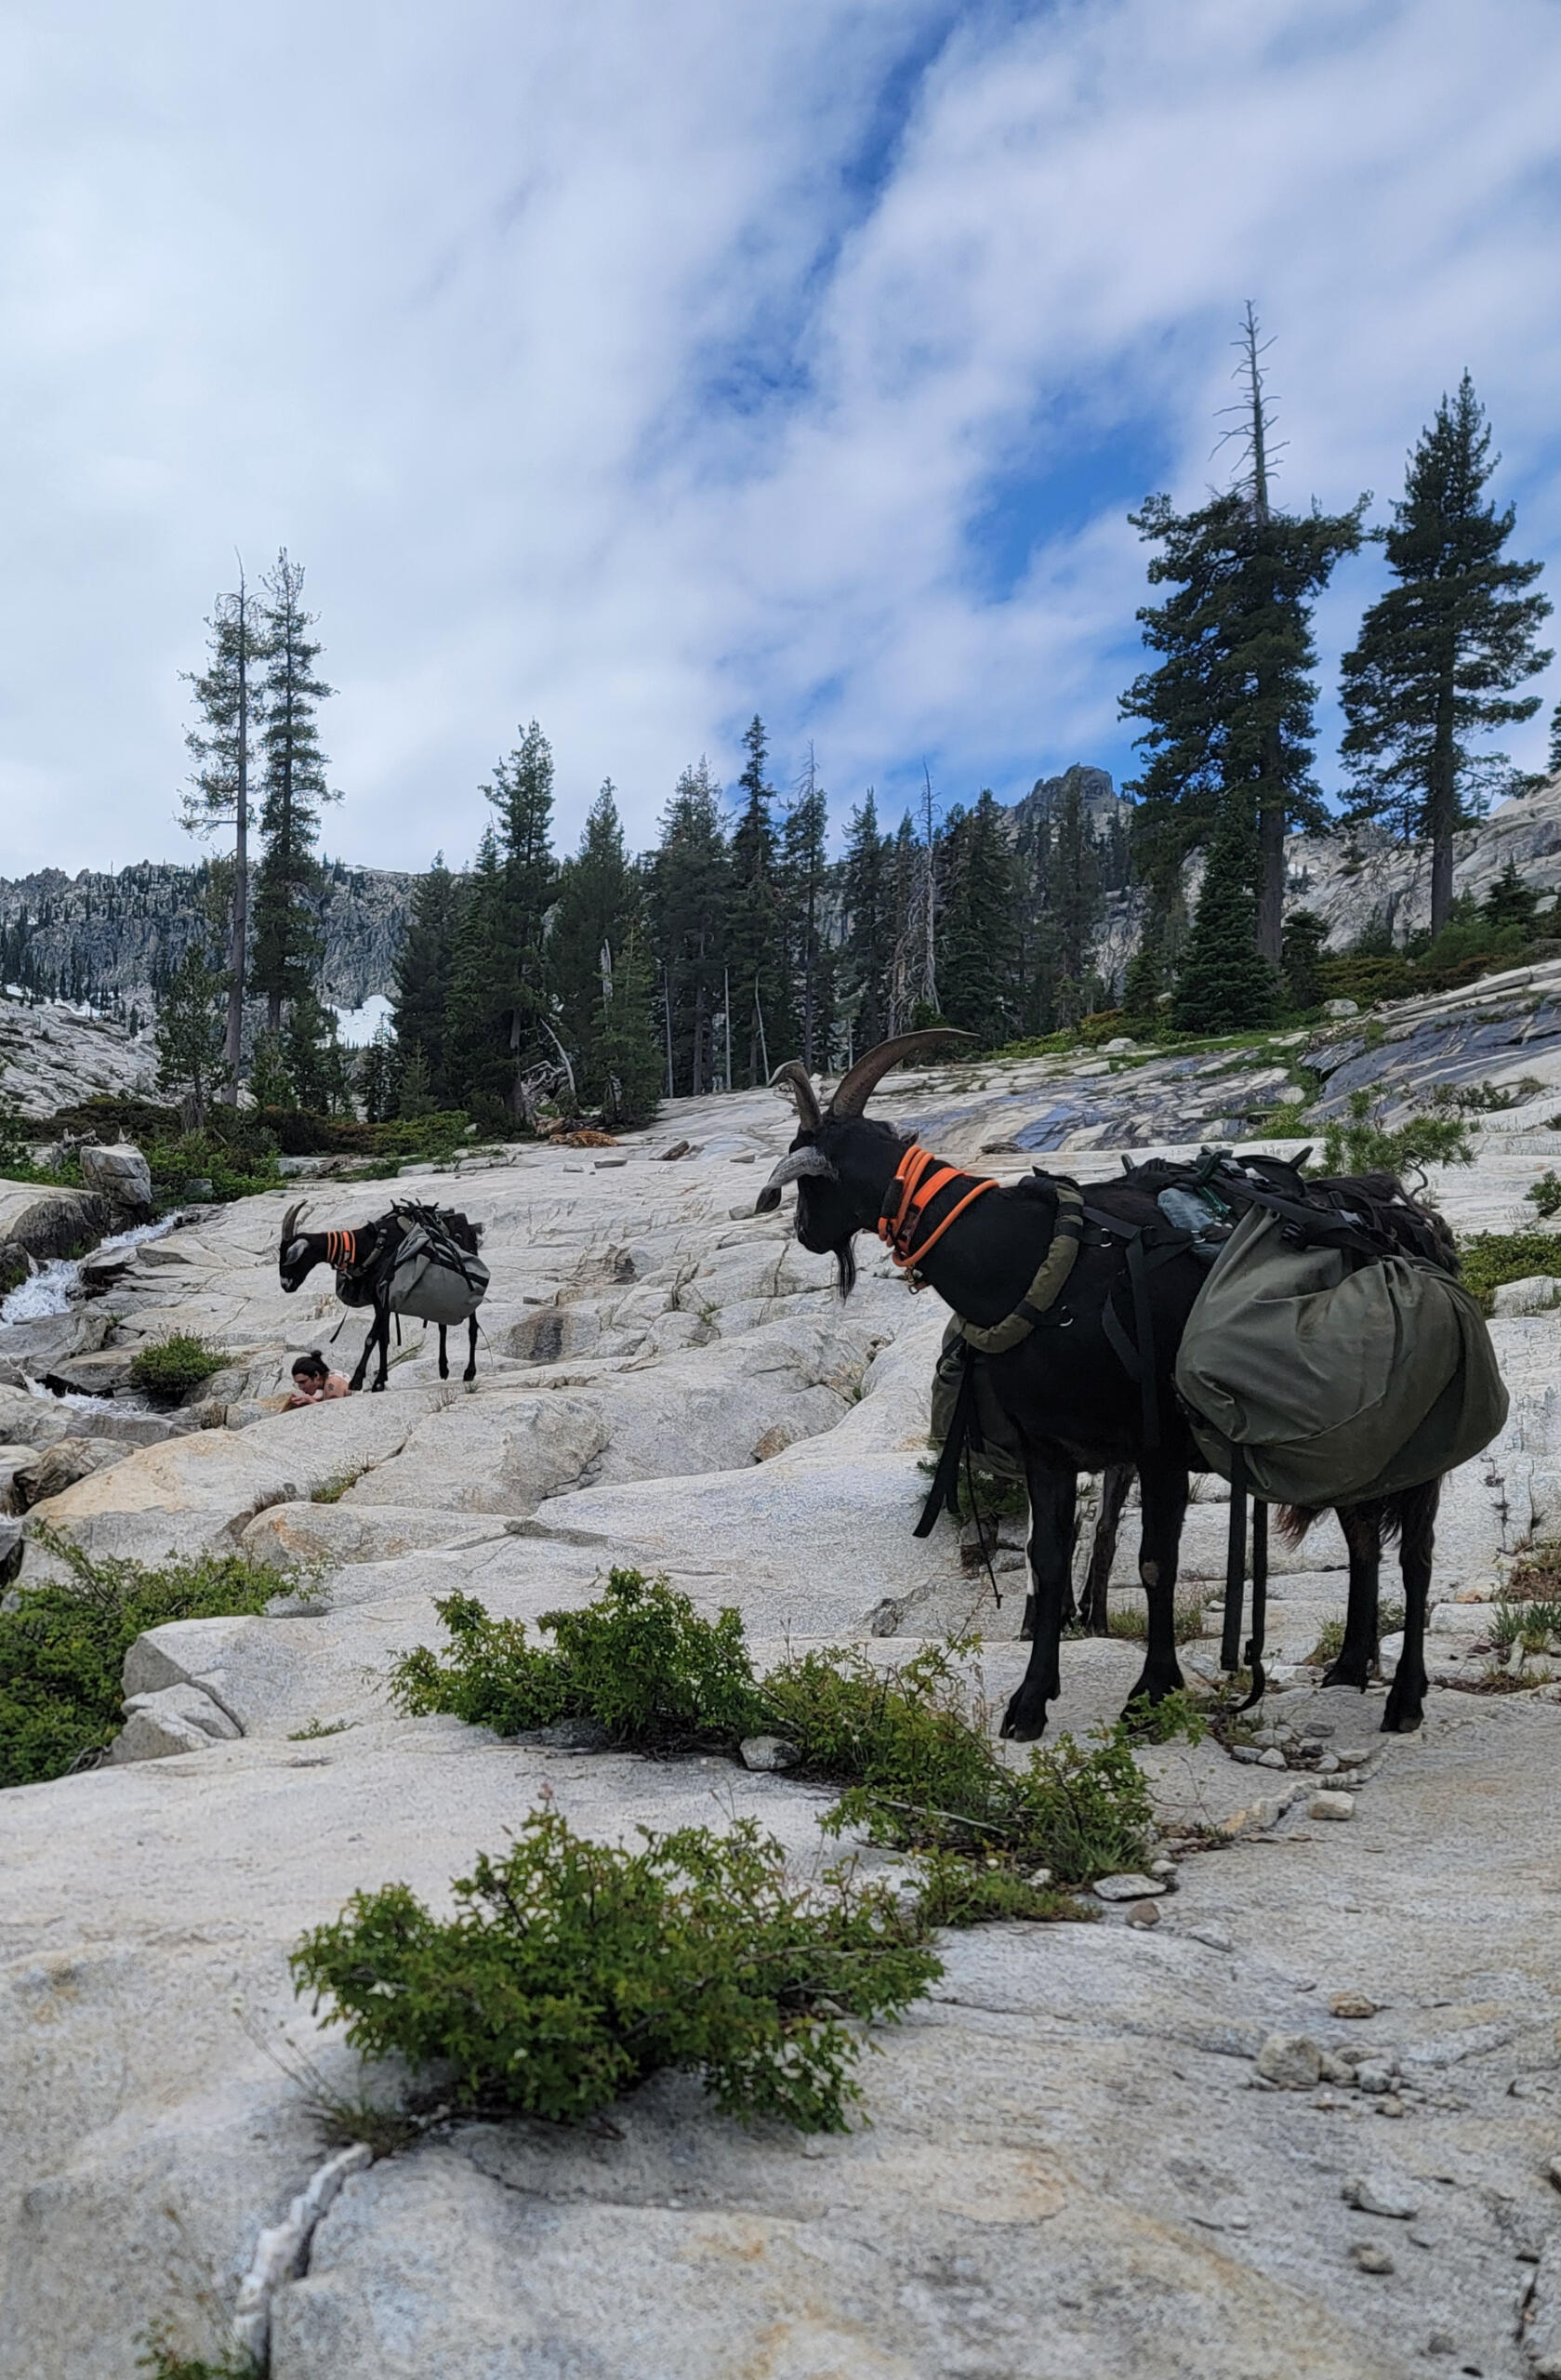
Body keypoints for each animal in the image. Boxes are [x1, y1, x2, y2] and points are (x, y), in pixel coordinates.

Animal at [277, 1201, 486, 1392]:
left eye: (290, 1256)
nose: (285, 1285)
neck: (368, 1246)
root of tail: (470, 1227)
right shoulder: (381, 1302)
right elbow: (383, 1340)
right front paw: (380, 1381)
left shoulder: (384, 1300)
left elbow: (371, 1338)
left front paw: (357, 1381)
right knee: (442, 1325)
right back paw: (443, 1369)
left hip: (468, 1291)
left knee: (473, 1328)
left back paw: (469, 1371)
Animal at [756, 1031, 1452, 1742]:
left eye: (804, 1175)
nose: (804, 1234)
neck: (1032, 1262)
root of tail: (1410, 1220)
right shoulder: (1049, 1449)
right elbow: (1047, 1561)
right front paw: (1031, 1701)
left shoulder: (1159, 1444)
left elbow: (1154, 1563)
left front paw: (1151, 1691)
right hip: (1349, 1442)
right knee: (1362, 1537)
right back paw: (1348, 1666)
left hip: (1410, 1430)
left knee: (1415, 1553)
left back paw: (1405, 1697)